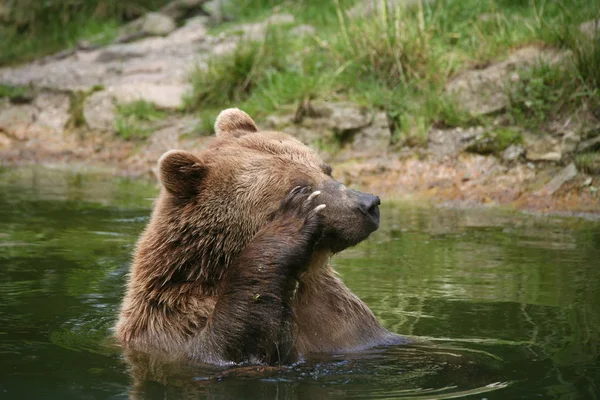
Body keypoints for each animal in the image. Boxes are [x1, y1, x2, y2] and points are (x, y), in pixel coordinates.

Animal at [116, 108, 408, 364]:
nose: (368, 204)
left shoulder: (345, 320)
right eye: (300, 186)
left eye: (326, 169)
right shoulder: (173, 322)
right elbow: (232, 342)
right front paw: (291, 223)